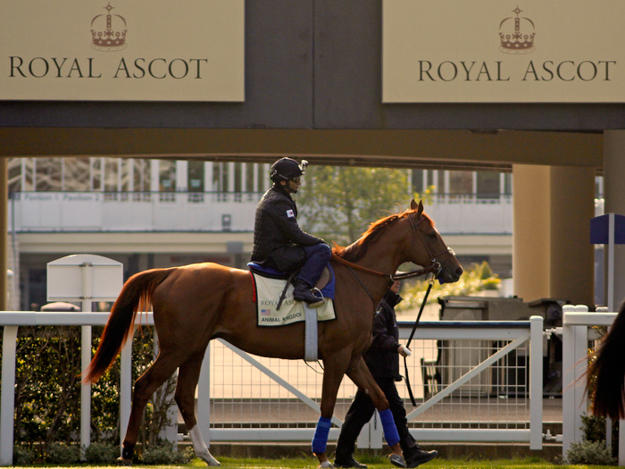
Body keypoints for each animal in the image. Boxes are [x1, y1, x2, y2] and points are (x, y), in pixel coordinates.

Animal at [85, 199, 460, 466]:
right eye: (431, 234)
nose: (455, 269)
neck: (356, 280)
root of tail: (172, 271)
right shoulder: (337, 358)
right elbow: (327, 406)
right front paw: (322, 456)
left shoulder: (354, 359)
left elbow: (381, 398)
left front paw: (399, 451)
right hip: (177, 348)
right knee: (144, 385)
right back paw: (128, 451)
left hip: (195, 348)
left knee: (184, 396)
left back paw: (206, 455)